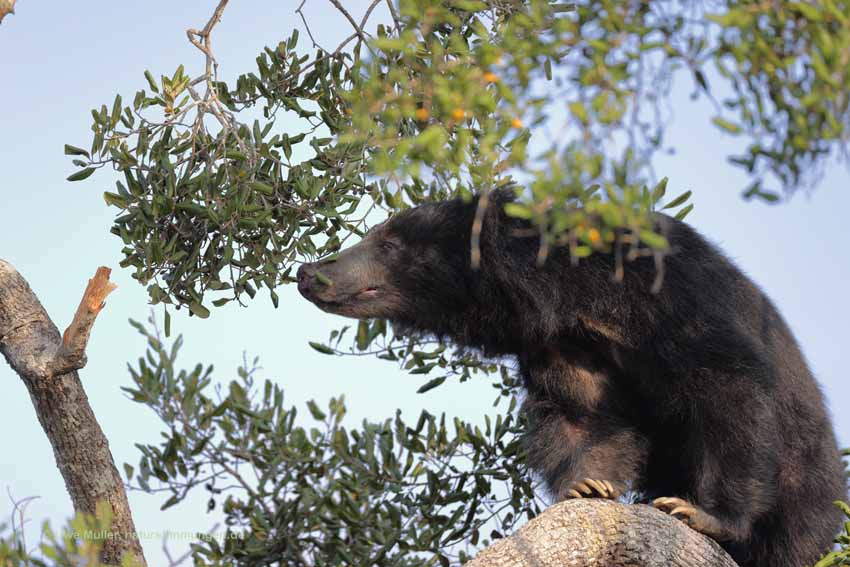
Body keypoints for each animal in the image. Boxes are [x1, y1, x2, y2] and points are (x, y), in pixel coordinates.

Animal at [294, 192, 844, 567]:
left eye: (387, 243)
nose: (310, 272)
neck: (582, 300)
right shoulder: (562, 345)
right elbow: (585, 416)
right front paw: (588, 486)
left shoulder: (676, 295)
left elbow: (728, 389)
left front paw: (698, 513)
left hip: (809, 487)